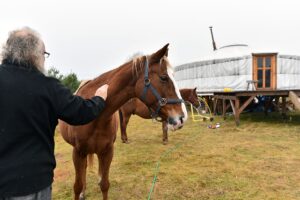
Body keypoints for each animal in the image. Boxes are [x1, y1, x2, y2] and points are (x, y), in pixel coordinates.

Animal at [58, 44, 188, 200]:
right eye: (164, 78)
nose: (182, 117)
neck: (95, 114)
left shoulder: (107, 151)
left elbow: (104, 184)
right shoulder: (78, 153)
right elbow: (77, 186)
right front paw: (81, 191)